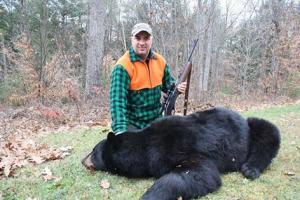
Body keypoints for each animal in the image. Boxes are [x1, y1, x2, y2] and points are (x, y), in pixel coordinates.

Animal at [81, 108, 280, 200]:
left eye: (93, 151)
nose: (82, 160)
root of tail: (241, 117)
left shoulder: (184, 147)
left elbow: (199, 173)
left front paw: (150, 195)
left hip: (250, 130)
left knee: (267, 131)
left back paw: (250, 169)